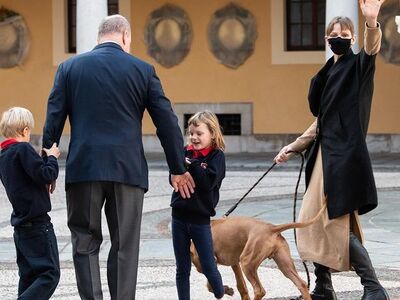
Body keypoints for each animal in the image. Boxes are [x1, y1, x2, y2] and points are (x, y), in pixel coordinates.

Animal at [190, 204, 324, 300]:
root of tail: (271, 228)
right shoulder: (234, 263)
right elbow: (241, 287)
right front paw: (228, 290)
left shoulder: (205, 264)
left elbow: (210, 284)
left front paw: (225, 289)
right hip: (283, 263)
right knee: (301, 284)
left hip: (247, 262)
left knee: (260, 290)